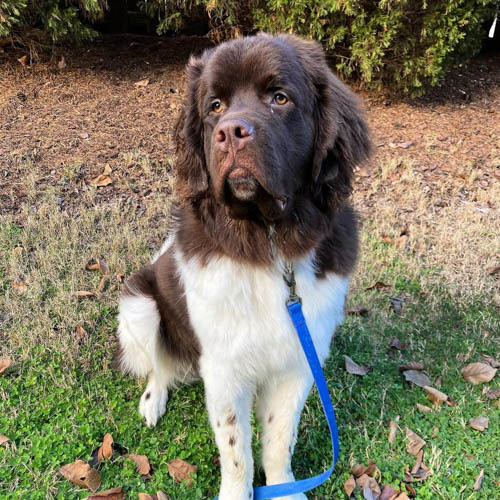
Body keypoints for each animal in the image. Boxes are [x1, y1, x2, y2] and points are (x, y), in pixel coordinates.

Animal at [118, 33, 372, 498]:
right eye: (214, 106)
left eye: (280, 98)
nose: (230, 132)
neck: (269, 244)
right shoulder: (225, 369)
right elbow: (237, 451)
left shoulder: (298, 363)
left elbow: (278, 440)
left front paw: (285, 488)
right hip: (139, 304)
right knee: (159, 364)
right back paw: (152, 401)